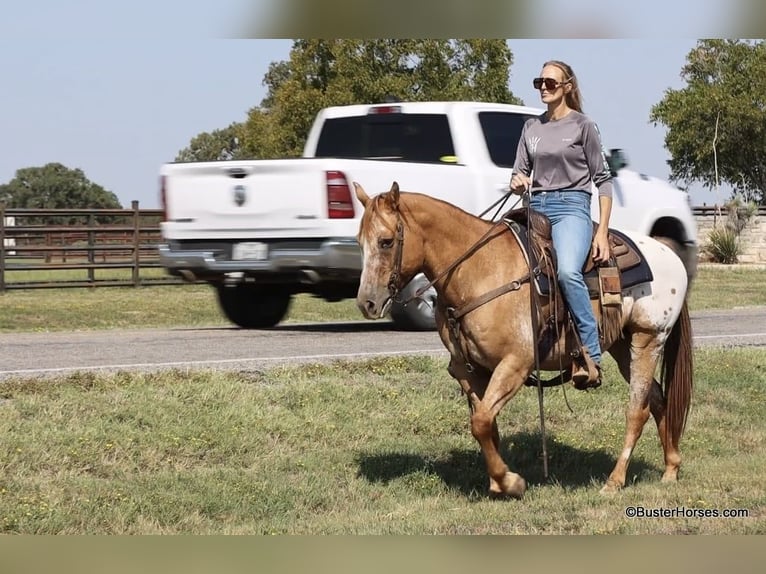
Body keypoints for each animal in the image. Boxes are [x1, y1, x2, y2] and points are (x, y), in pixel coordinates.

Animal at [353, 181, 693, 498]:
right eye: (359, 242)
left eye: (386, 242)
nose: (367, 303)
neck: (479, 271)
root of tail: (671, 256)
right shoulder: (469, 370)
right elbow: (487, 424)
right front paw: (498, 481)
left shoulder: (516, 363)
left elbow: (481, 422)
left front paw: (511, 482)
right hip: (624, 345)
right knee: (658, 399)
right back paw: (671, 468)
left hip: (648, 339)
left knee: (638, 410)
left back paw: (615, 481)